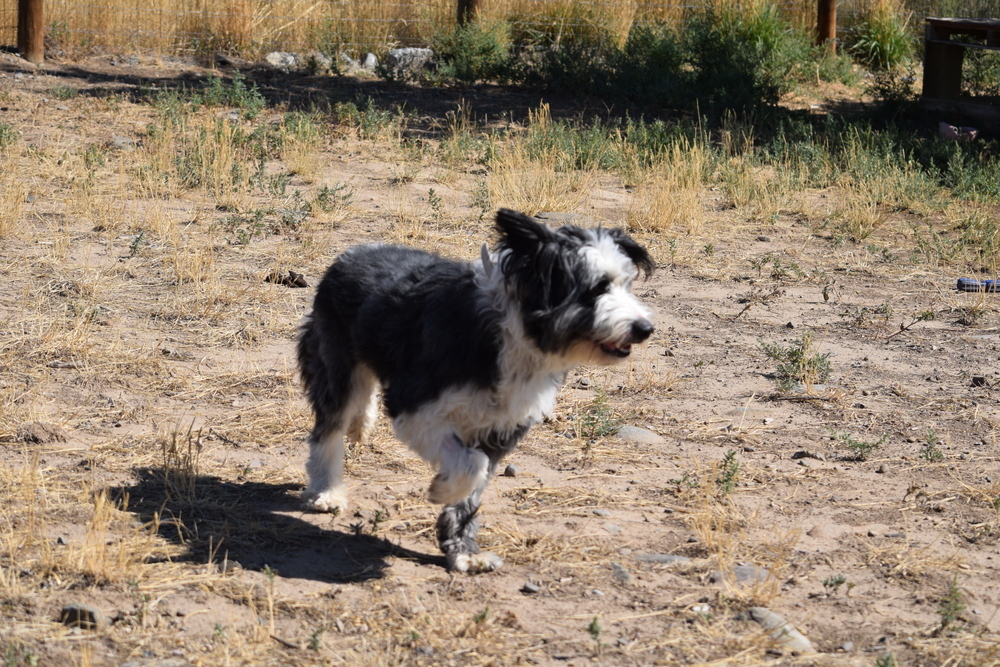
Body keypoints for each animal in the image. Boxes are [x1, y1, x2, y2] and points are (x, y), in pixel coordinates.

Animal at [296, 210, 656, 576]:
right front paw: (442, 489)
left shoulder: (502, 427)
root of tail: (354, 252)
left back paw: (361, 425)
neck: (513, 334)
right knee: (328, 430)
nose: (645, 329)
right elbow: (471, 465)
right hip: (335, 364)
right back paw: (327, 491)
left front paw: (464, 552)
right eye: (596, 288)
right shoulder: (415, 406)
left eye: (626, 283)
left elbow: (474, 486)